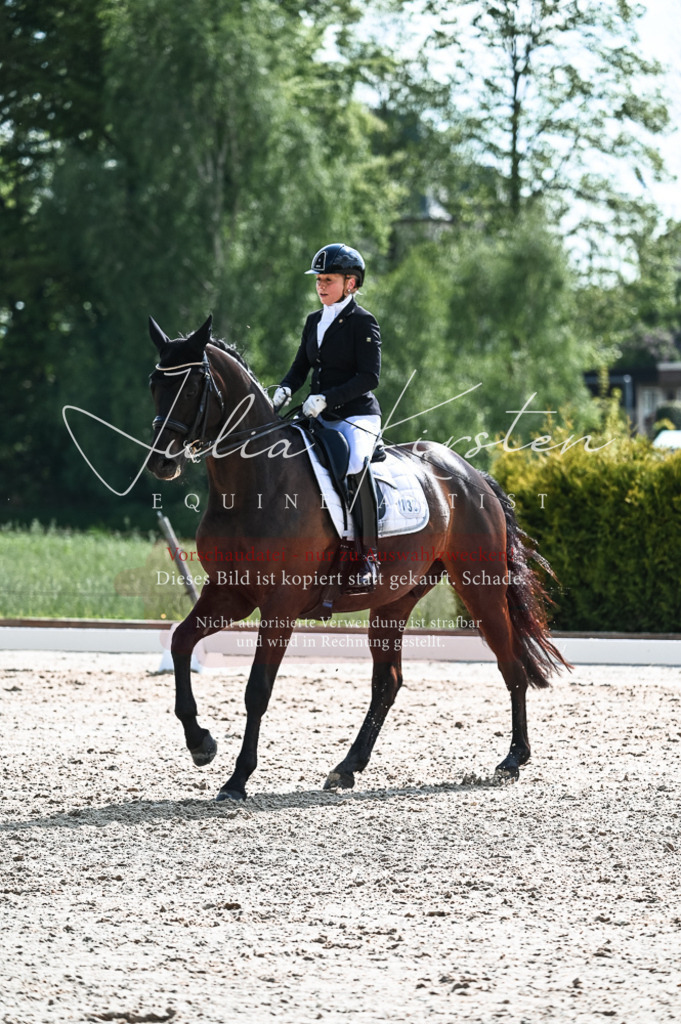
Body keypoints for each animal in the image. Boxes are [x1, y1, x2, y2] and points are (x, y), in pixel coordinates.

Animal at [147, 314, 568, 801]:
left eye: (192, 386)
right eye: (155, 383)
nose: (161, 463)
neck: (257, 481)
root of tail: (470, 474)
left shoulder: (279, 605)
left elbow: (257, 689)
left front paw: (237, 779)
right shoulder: (230, 594)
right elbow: (180, 642)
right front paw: (201, 743)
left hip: (480, 588)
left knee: (510, 664)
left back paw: (512, 760)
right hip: (395, 599)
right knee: (388, 682)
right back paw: (347, 767)